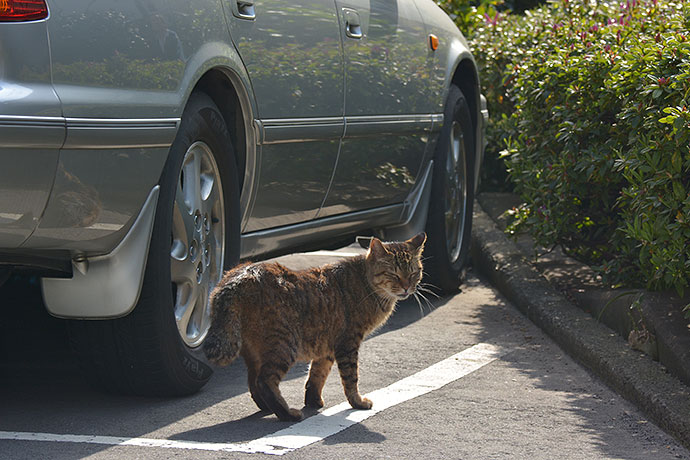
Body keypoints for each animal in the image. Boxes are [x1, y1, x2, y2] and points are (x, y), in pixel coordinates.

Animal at [202, 234, 424, 420]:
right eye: (394, 274)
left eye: (414, 273)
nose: (407, 287)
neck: (366, 283)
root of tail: (237, 278)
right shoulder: (348, 342)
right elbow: (351, 378)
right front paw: (357, 402)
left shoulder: (327, 345)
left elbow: (317, 375)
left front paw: (313, 400)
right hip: (284, 345)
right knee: (265, 381)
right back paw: (287, 414)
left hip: (256, 351)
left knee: (253, 381)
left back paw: (267, 406)